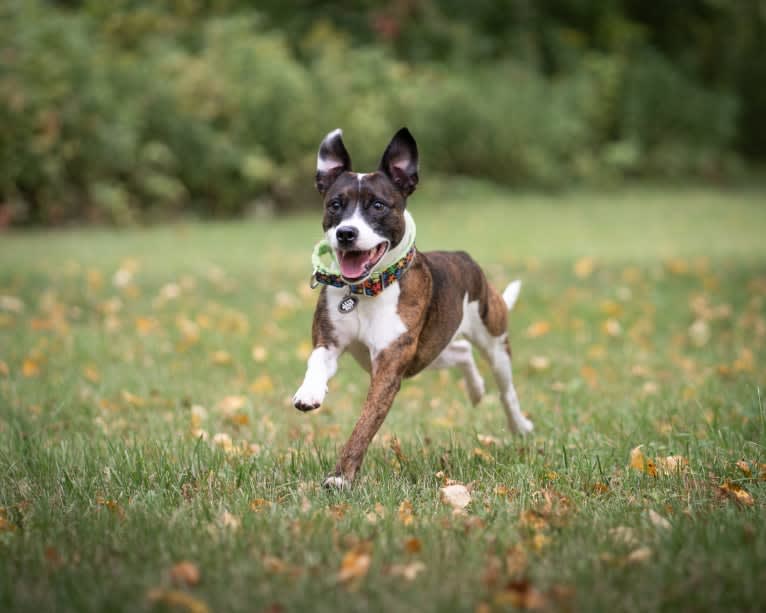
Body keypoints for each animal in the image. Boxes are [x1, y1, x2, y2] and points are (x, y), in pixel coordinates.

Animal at [294, 128, 536, 488]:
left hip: (493, 341)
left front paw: (340, 477)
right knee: (461, 351)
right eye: (335, 205)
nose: (346, 233)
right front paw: (309, 392)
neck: (365, 290)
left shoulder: (389, 367)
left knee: (505, 389)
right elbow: (317, 362)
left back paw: (519, 425)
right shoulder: (331, 342)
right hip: (429, 354)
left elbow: (364, 425)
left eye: (378, 205)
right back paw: (476, 390)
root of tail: (464, 258)